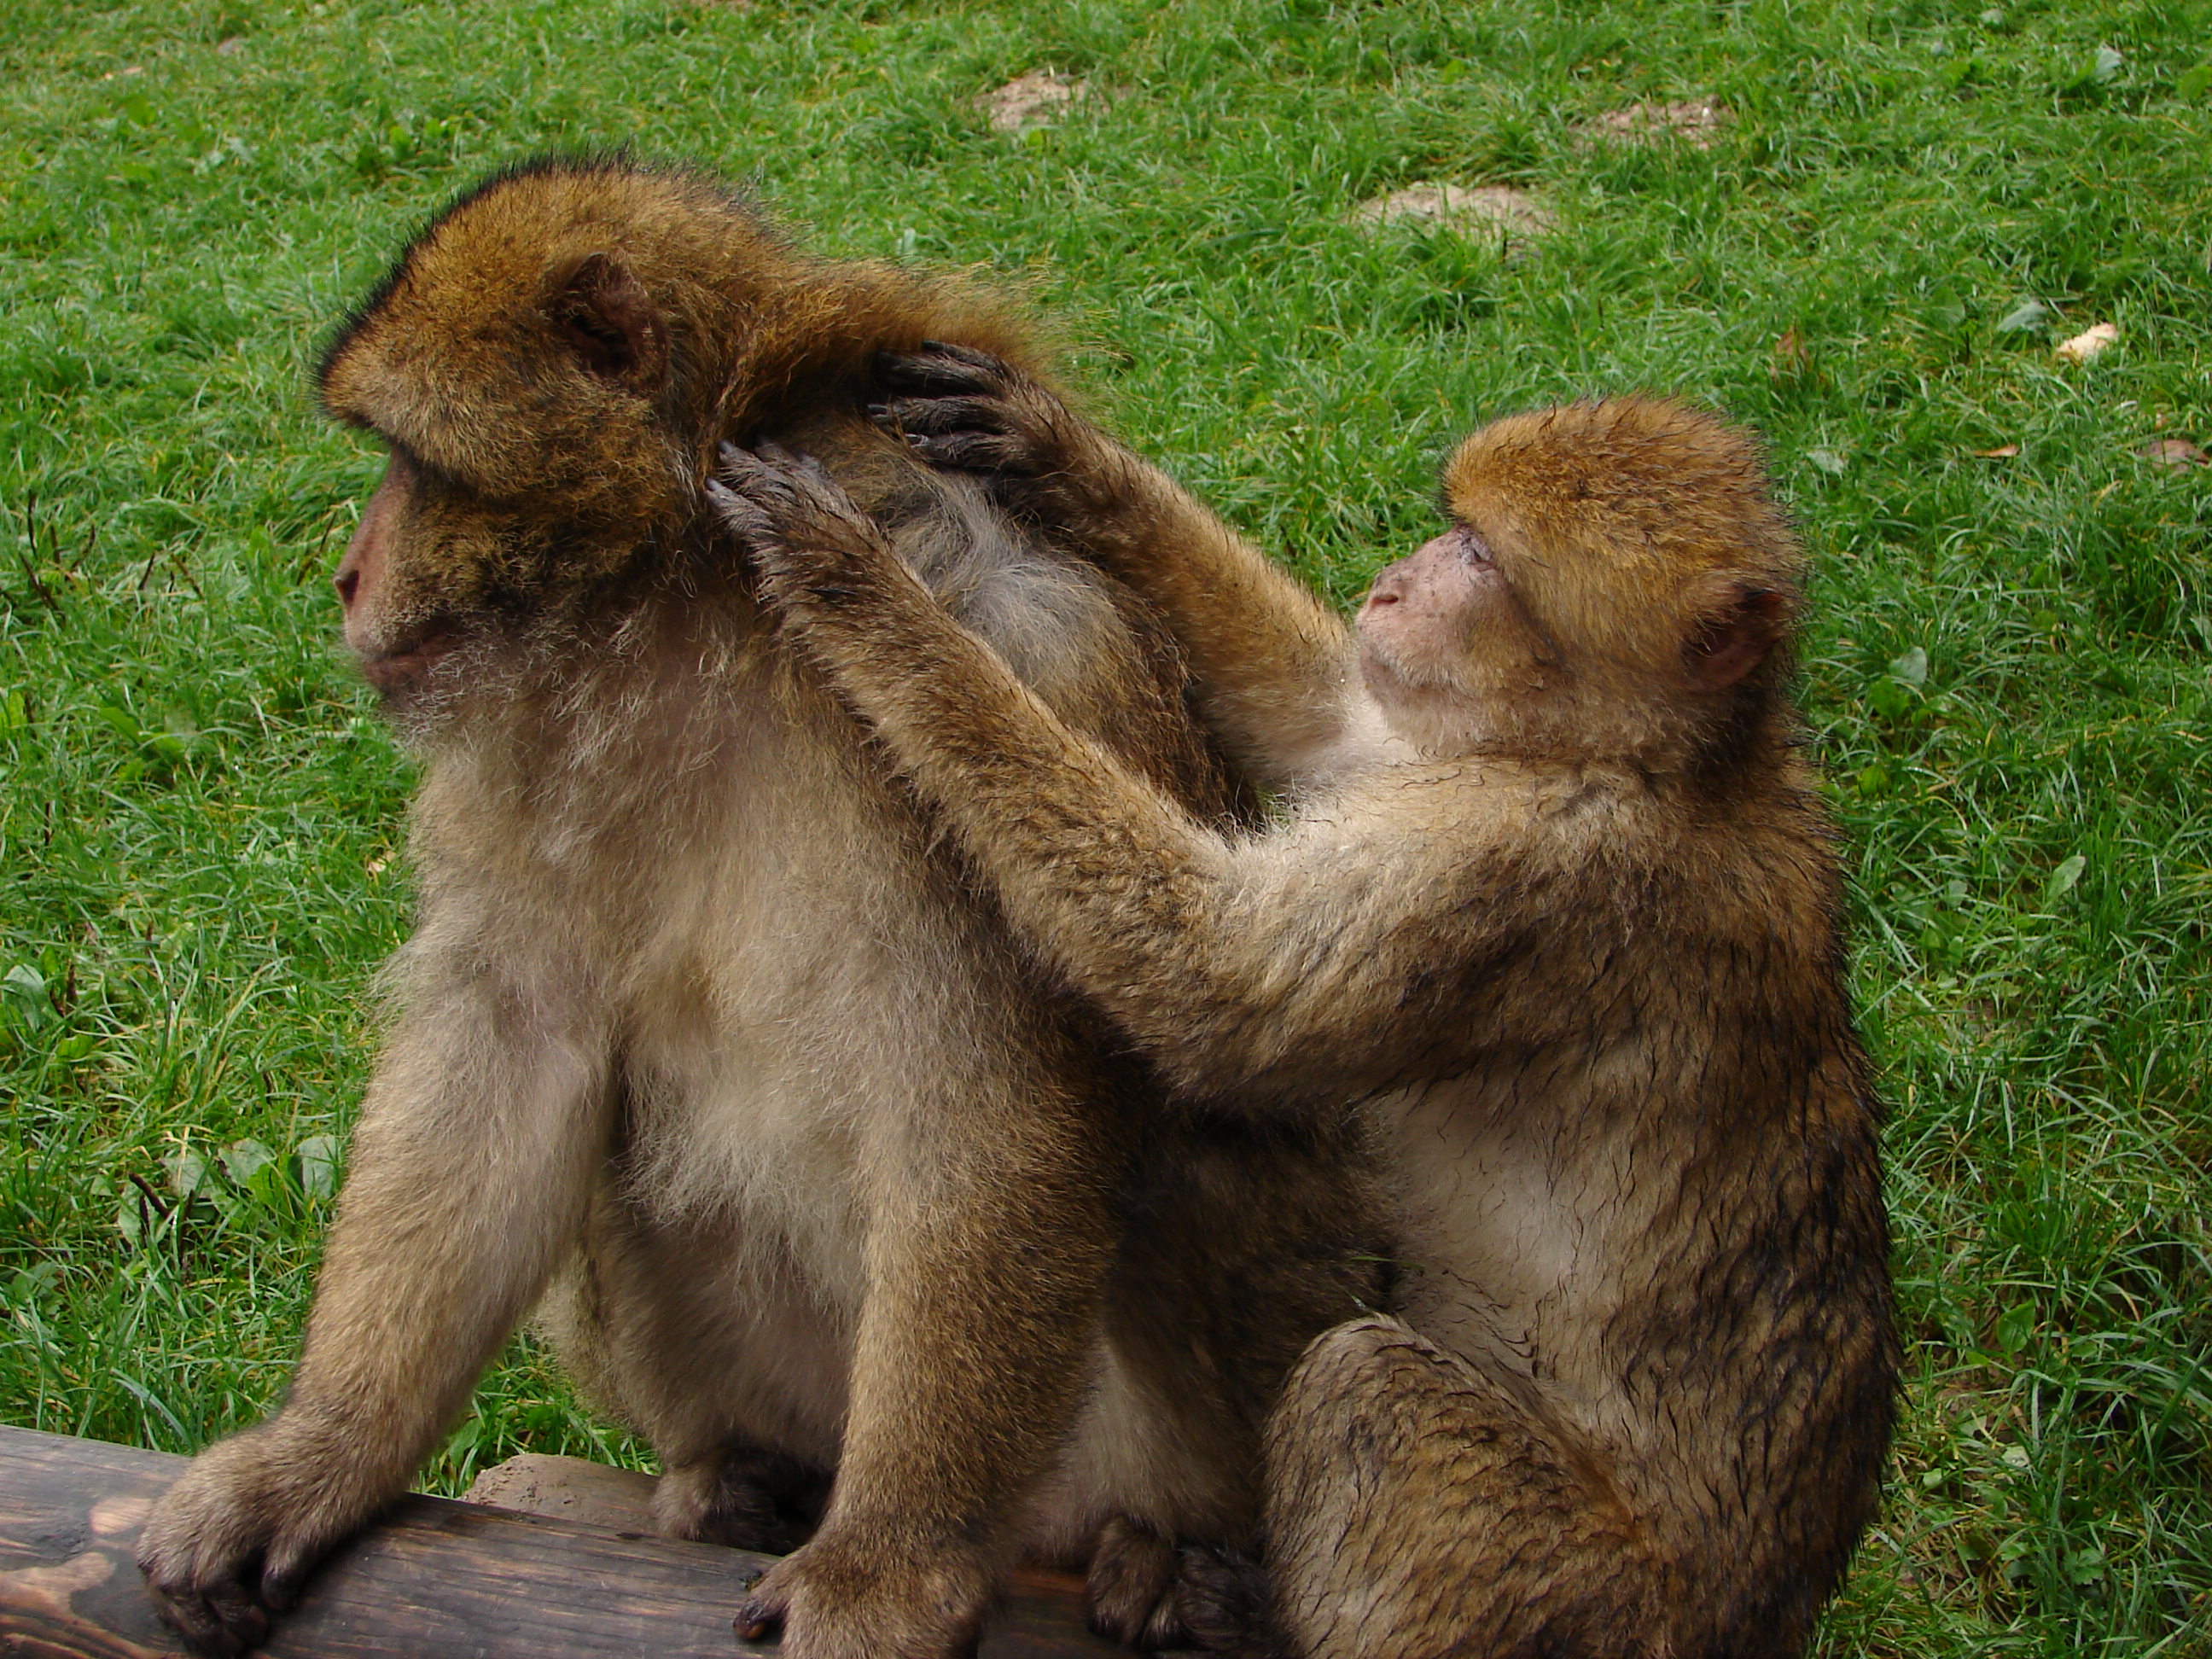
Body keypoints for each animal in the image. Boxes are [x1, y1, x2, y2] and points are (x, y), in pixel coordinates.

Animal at [133, 166, 1380, 1659]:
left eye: (411, 462)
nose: (346, 577)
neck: (687, 594)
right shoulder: (519, 741)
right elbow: (514, 1037)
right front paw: (323, 1451)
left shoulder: (1009, 640)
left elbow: (1008, 1090)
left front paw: (889, 1560)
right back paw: (734, 1479)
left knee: (1209, 1153)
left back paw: (1178, 1552)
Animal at [707, 367, 1902, 1659]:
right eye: (1455, 530)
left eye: (1481, 558)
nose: (1395, 583)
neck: (1662, 763)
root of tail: (1758, 1621)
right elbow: (1328, 719)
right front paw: (1059, 456)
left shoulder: (1514, 867)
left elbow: (1216, 981)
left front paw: (862, 594)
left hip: (1590, 1606)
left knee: (1366, 1389)